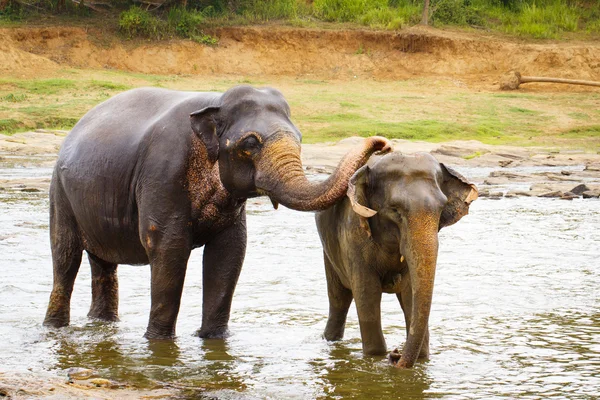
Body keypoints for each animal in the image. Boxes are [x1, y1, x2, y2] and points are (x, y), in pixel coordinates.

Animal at [42, 86, 390, 340]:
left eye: (301, 140)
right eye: (250, 143)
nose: (383, 143)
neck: (215, 102)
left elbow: (230, 252)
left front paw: (213, 340)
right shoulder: (162, 174)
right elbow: (168, 249)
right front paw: (158, 343)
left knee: (103, 264)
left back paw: (102, 325)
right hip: (60, 193)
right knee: (65, 257)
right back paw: (55, 328)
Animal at [314, 152, 478, 368]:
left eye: (442, 208)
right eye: (395, 210)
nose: (396, 354)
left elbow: (410, 293)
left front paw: (422, 359)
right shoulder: (354, 236)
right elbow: (367, 292)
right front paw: (376, 357)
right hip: (329, 252)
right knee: (338, 299)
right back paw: (330, 340)